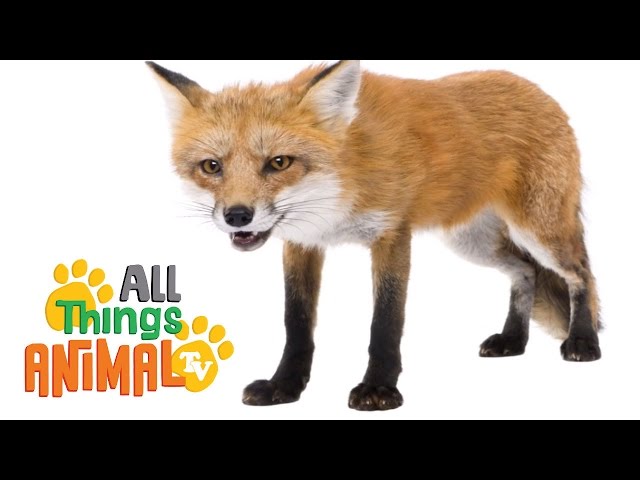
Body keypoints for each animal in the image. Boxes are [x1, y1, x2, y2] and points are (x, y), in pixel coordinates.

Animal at [148, 60, 601, 411]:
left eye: (278, 162)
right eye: (212, 167)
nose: (238, 216)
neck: (340, 185)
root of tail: (539, 90)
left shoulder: (392, 234)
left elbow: (386, 321)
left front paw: (379, 389)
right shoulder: (302, 242)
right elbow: (296, 323)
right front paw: (285, 387)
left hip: (539, 229)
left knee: (580, 273)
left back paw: (583, 342)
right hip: (473, 242)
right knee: (526, 271)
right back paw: (513, 340)